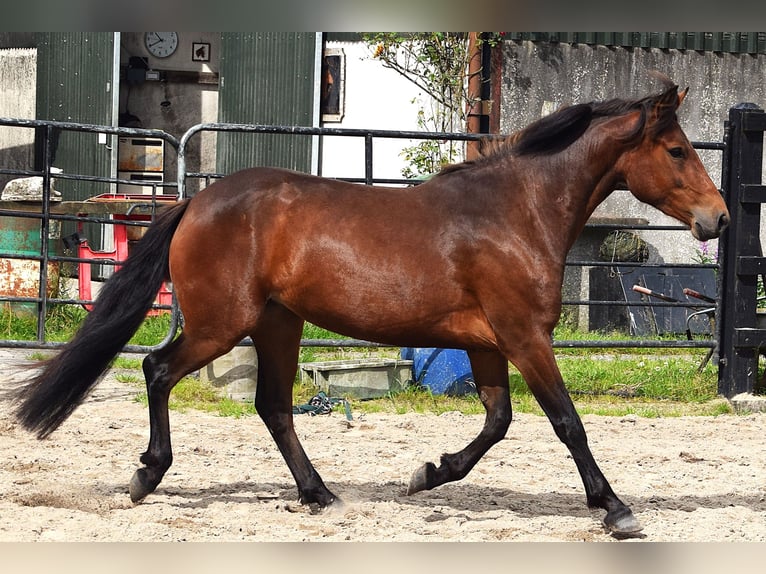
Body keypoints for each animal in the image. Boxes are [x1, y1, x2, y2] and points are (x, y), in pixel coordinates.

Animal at [12, 79, 732, 536]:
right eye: (676, 150)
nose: (719, 219)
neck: (514, 212)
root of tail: (197, 202)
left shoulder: (488, 343)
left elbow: (498, 423)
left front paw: (427, 474)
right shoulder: (526, 337)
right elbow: (567, 423)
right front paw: (615, 509)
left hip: (278, 323)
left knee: (273, 407)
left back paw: (320, 495)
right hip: (224, 323)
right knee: (159, 371)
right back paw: (147, 477)